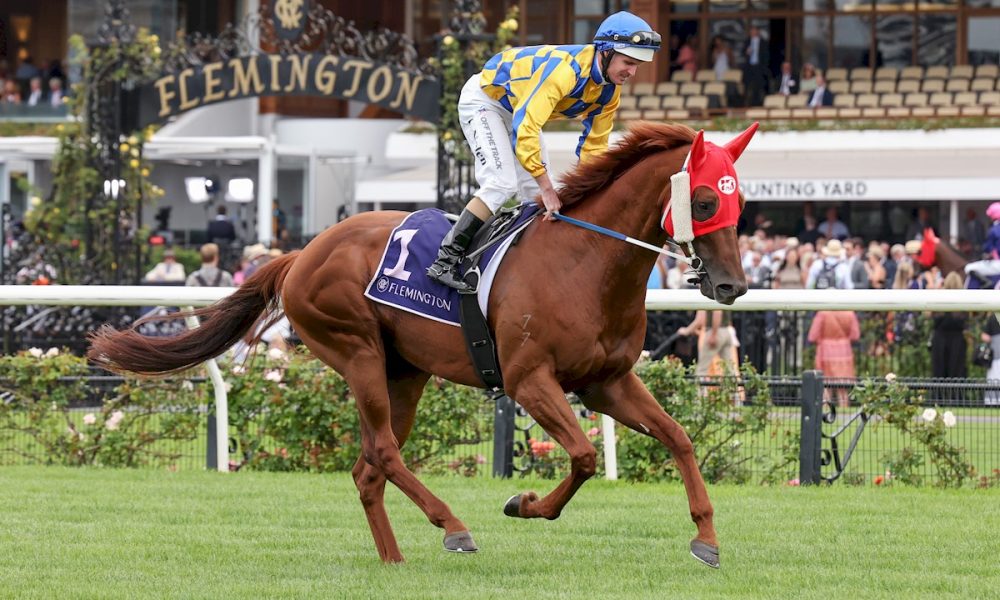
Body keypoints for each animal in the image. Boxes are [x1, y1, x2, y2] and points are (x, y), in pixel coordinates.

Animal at [88, 121, 756, 566]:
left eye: (740, 200)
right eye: (704, 200)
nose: (732, 285)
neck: (586, 263)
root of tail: (301, 253)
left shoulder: (607, 381)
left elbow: (679, 438)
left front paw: (706, 539)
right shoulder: (529, 381)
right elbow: (586, 456)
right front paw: (524, 504)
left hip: (405, 371)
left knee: (367, 468)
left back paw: (394, 558)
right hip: (355, 350)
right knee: (383, 453)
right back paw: (452, 525)